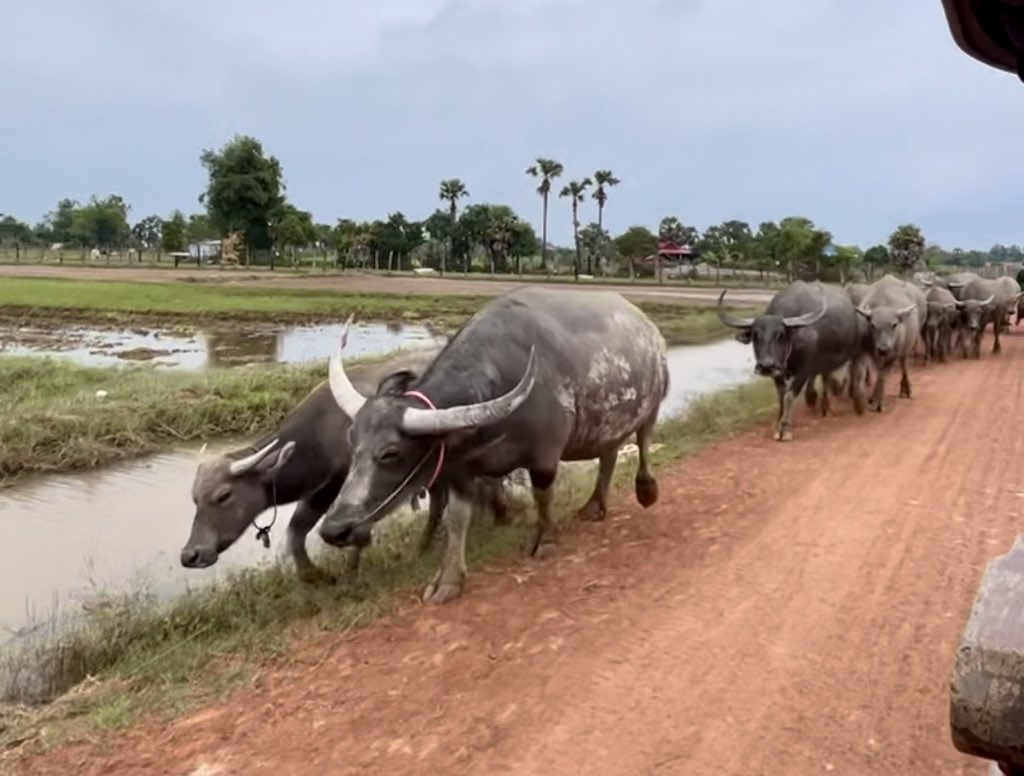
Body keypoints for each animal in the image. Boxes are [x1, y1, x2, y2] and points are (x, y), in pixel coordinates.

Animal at [180, 350, 512, 585]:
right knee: (443, 501)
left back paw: (499, 514)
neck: (319, 434)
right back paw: (429, 543)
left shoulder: (335, 488)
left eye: (224, 495)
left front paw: (342, 572)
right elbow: (297, 531)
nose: (190, 555)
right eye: (195, 499)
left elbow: (322, 530)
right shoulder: (322, 491)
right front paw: (318, 574)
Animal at [319, 286, 671, 606]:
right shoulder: (460, 472)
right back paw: (595, 506)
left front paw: (545, 540)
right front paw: (449, 581)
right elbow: (457, 519)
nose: (334, 529)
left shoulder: (545, 456)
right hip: (610, 423)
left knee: (643, 441)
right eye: (352, 441)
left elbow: (542, 496)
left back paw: (646, 491)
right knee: (609, 453)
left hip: (651, 405)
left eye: (390, 453)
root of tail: (649, 329)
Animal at [720, 282, 872, 444]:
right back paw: (815, 400)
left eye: (780, 334)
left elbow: (789, 396)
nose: (766, 366)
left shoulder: (803, 371)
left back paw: (831, 406)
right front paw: (778, 422)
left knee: (836, 378)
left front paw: (785, 428)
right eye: (756, 335)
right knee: (824, 379)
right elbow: (781, 396)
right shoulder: (778, 373)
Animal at [851, 274, 925, 413]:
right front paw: (873, 399)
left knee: (903, 363)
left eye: (894, 325)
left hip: (907, 347)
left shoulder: (893, 355)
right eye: (872, 325)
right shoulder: (870, 352)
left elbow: (883, 376)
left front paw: (879, 402)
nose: (883, 349)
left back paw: (906, 388)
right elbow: (878, 373)